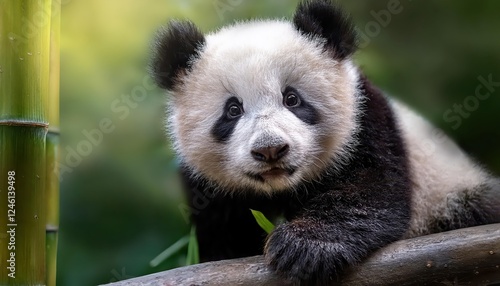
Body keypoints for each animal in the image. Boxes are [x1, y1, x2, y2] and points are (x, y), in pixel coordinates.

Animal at [149, 0, 500, 284]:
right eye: (233, 110)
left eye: (292, 99)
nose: (270, 149)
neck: (282, 188)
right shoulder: (210, 189)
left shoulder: (364, 122)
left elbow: (371, 192)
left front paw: (301, 248)